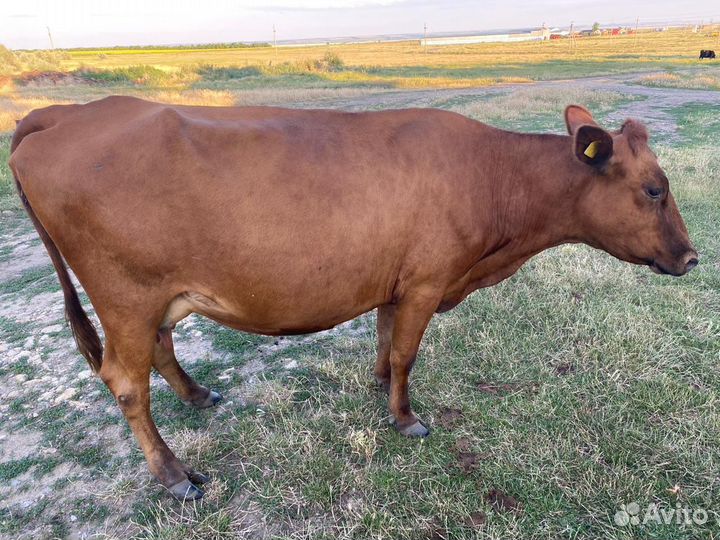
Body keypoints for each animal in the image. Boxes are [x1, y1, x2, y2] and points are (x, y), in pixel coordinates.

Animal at [9, 97, 698, 500]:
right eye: (654, 189)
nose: (693, 257)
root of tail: (69, 111)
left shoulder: (395, 282)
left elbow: (386, 340)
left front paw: (377, 387)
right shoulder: (427, 281)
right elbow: (408, 354)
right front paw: (405, 418)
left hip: (155, 295)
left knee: (159, 345)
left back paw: (199, 395)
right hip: (125, 294)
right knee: (126, 381)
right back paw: (176, 476)